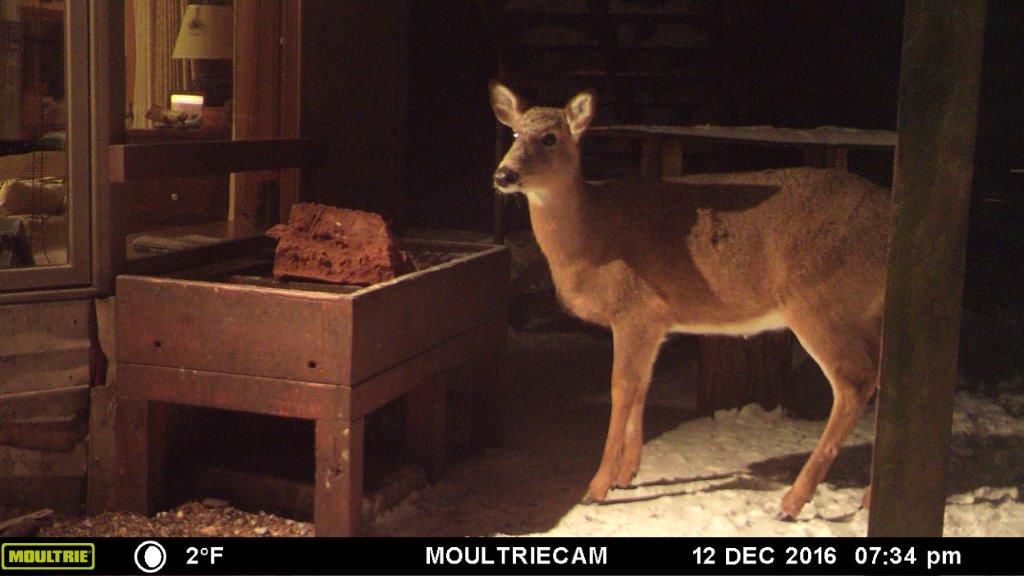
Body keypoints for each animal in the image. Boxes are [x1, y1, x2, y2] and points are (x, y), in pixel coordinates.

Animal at [489, 81, 890, 520]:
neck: (592, 237)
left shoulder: (635, 309)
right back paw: (867, 495)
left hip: (820, 301)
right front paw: (626, 474)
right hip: (861, 309)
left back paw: (792, 501)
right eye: (514, 133)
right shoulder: (657, 321)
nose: (504, 174)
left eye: (550, 137)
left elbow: (622, 388)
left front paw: (597, 486)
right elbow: (642, 387)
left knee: (854, 381)